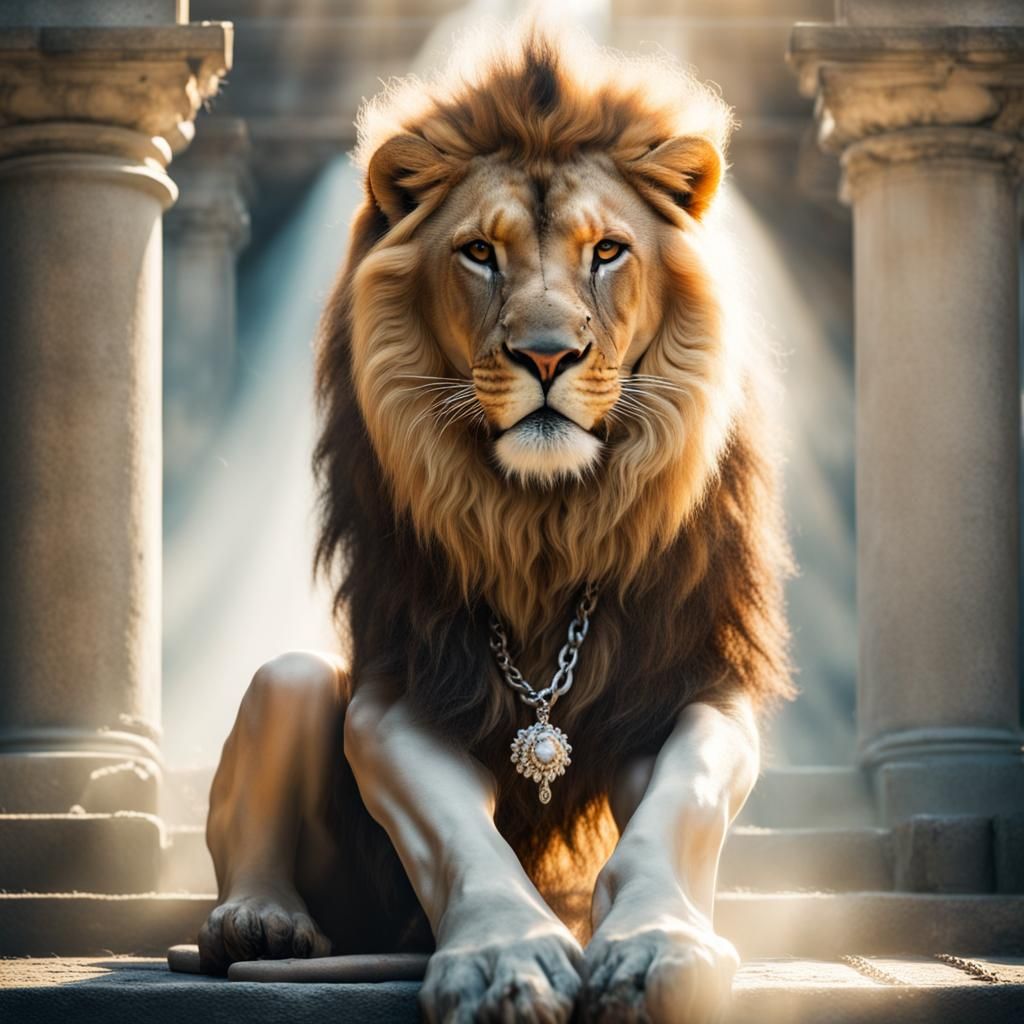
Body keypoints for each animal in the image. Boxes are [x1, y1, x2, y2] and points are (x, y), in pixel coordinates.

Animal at [198, 22, 792, 1024]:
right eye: (479, 252)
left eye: (608, 252)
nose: (546, 355)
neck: (544, 524)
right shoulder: (398, 689)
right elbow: (456, 838)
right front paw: (502, 959)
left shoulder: (690, 680)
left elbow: (682, 807)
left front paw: (657, 946)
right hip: (294, 681)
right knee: (281, 721)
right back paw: (260, 922)